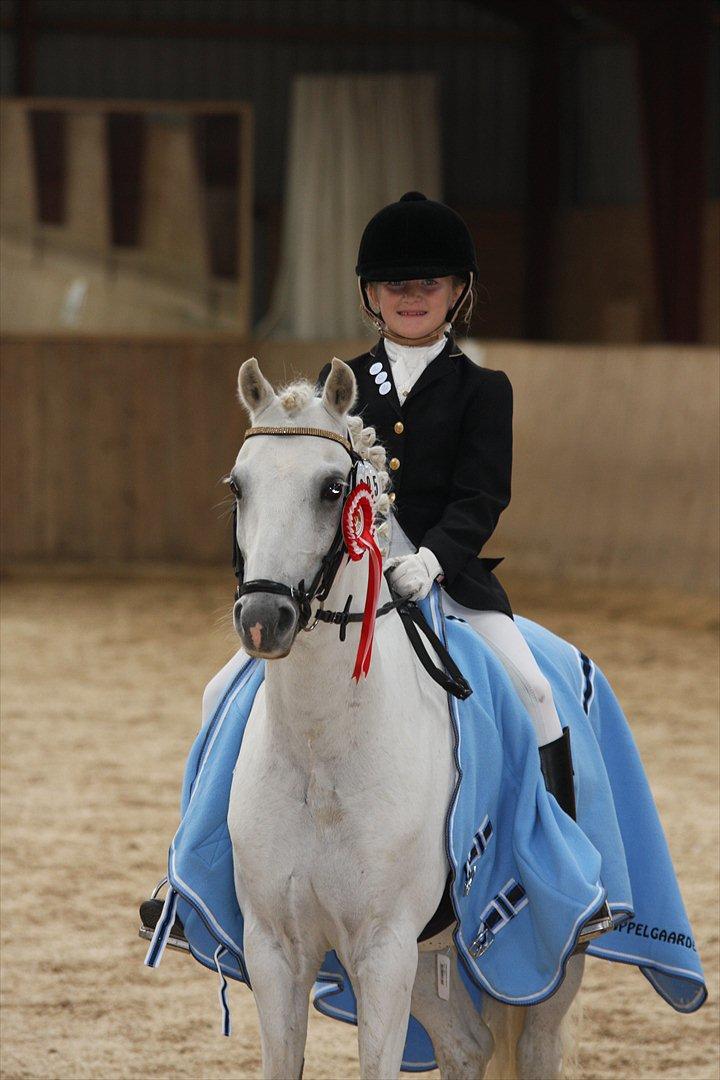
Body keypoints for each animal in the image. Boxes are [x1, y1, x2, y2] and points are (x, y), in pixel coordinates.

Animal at [226, 357, 584, 1080]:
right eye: (238, 486)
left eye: (333, 488)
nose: (263, 619)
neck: (321, 753)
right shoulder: (275, 947)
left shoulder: (384, 948)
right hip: (429, 956)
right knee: (467, 1044)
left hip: (553, 961)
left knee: (535, 1044)